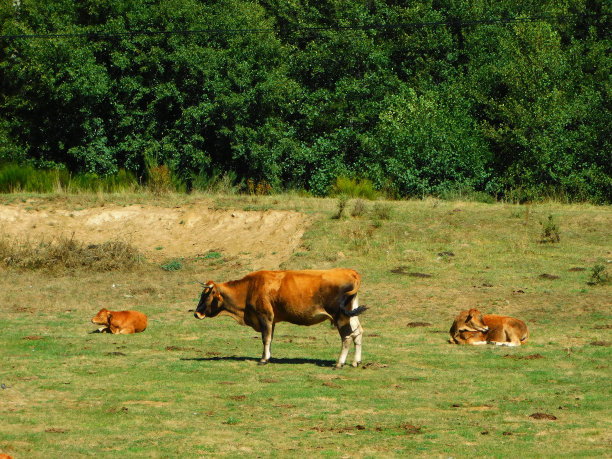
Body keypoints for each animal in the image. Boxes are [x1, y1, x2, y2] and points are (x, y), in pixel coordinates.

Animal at [194, 270, 366, 370]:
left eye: (206, 295)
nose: (196, 313)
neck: (250, 287)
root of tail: (350, 272)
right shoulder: (272, 320)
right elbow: (270, 338)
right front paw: (268, 357)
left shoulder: (265, 316)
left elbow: (266, 338)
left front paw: (263, 359)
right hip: (351, 314)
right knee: (358, 332)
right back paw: (356, 361)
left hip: (341, 317)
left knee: (347, 337)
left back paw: (339, 363)